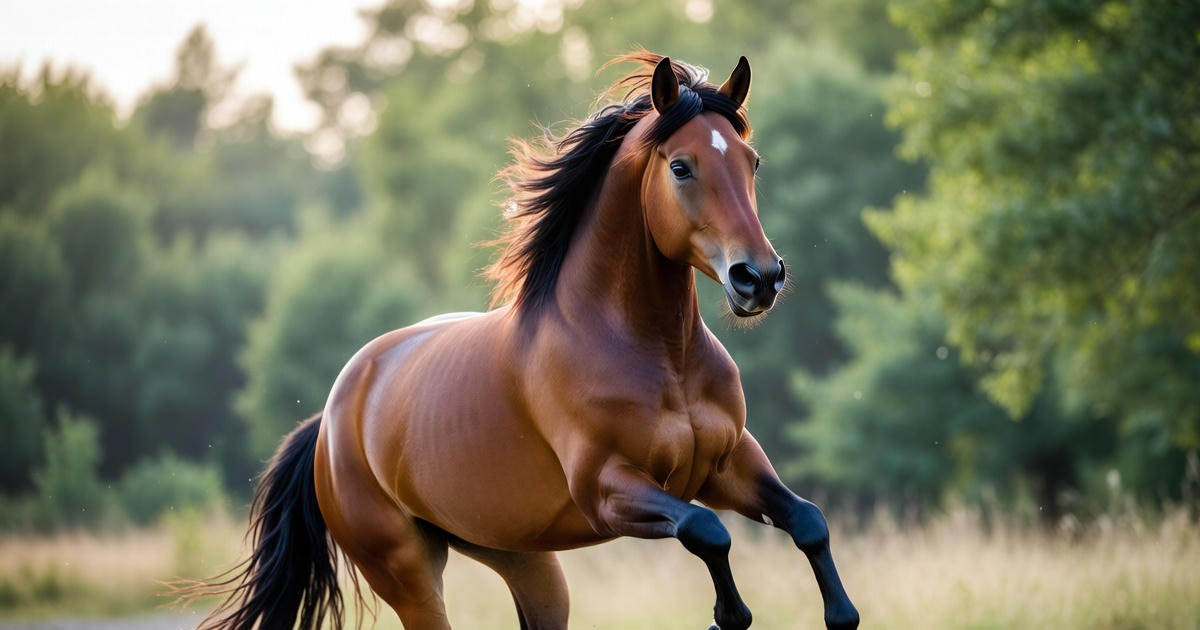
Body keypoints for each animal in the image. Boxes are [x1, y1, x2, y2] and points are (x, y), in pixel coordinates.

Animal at [196, 52, 860, 630]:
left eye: (752, 161)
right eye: (681, 166)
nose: (760, 278)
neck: (658, 355)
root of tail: (330, 424)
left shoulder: (728, 464)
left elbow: (808, 521)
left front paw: (839, 612)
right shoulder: (609, 490)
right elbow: (708, 532)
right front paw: (729, 613)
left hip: (524, 559)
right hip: (408, 574)